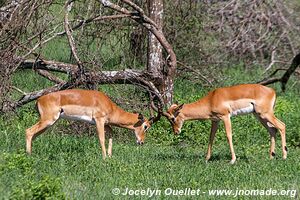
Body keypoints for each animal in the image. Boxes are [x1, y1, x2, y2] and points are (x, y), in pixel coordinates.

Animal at [25, 89, 156, 159]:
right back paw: (29, 156)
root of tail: (39, 100)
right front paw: (104, 158)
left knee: (33, 135)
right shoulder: (99, 120)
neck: (110, 106)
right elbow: (101, 138)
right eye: (146, 126)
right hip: (48, 120)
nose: (141, 142)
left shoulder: (106, 124)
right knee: (29, 131)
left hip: (49, 123)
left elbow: (111, 134)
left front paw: (109, 156)